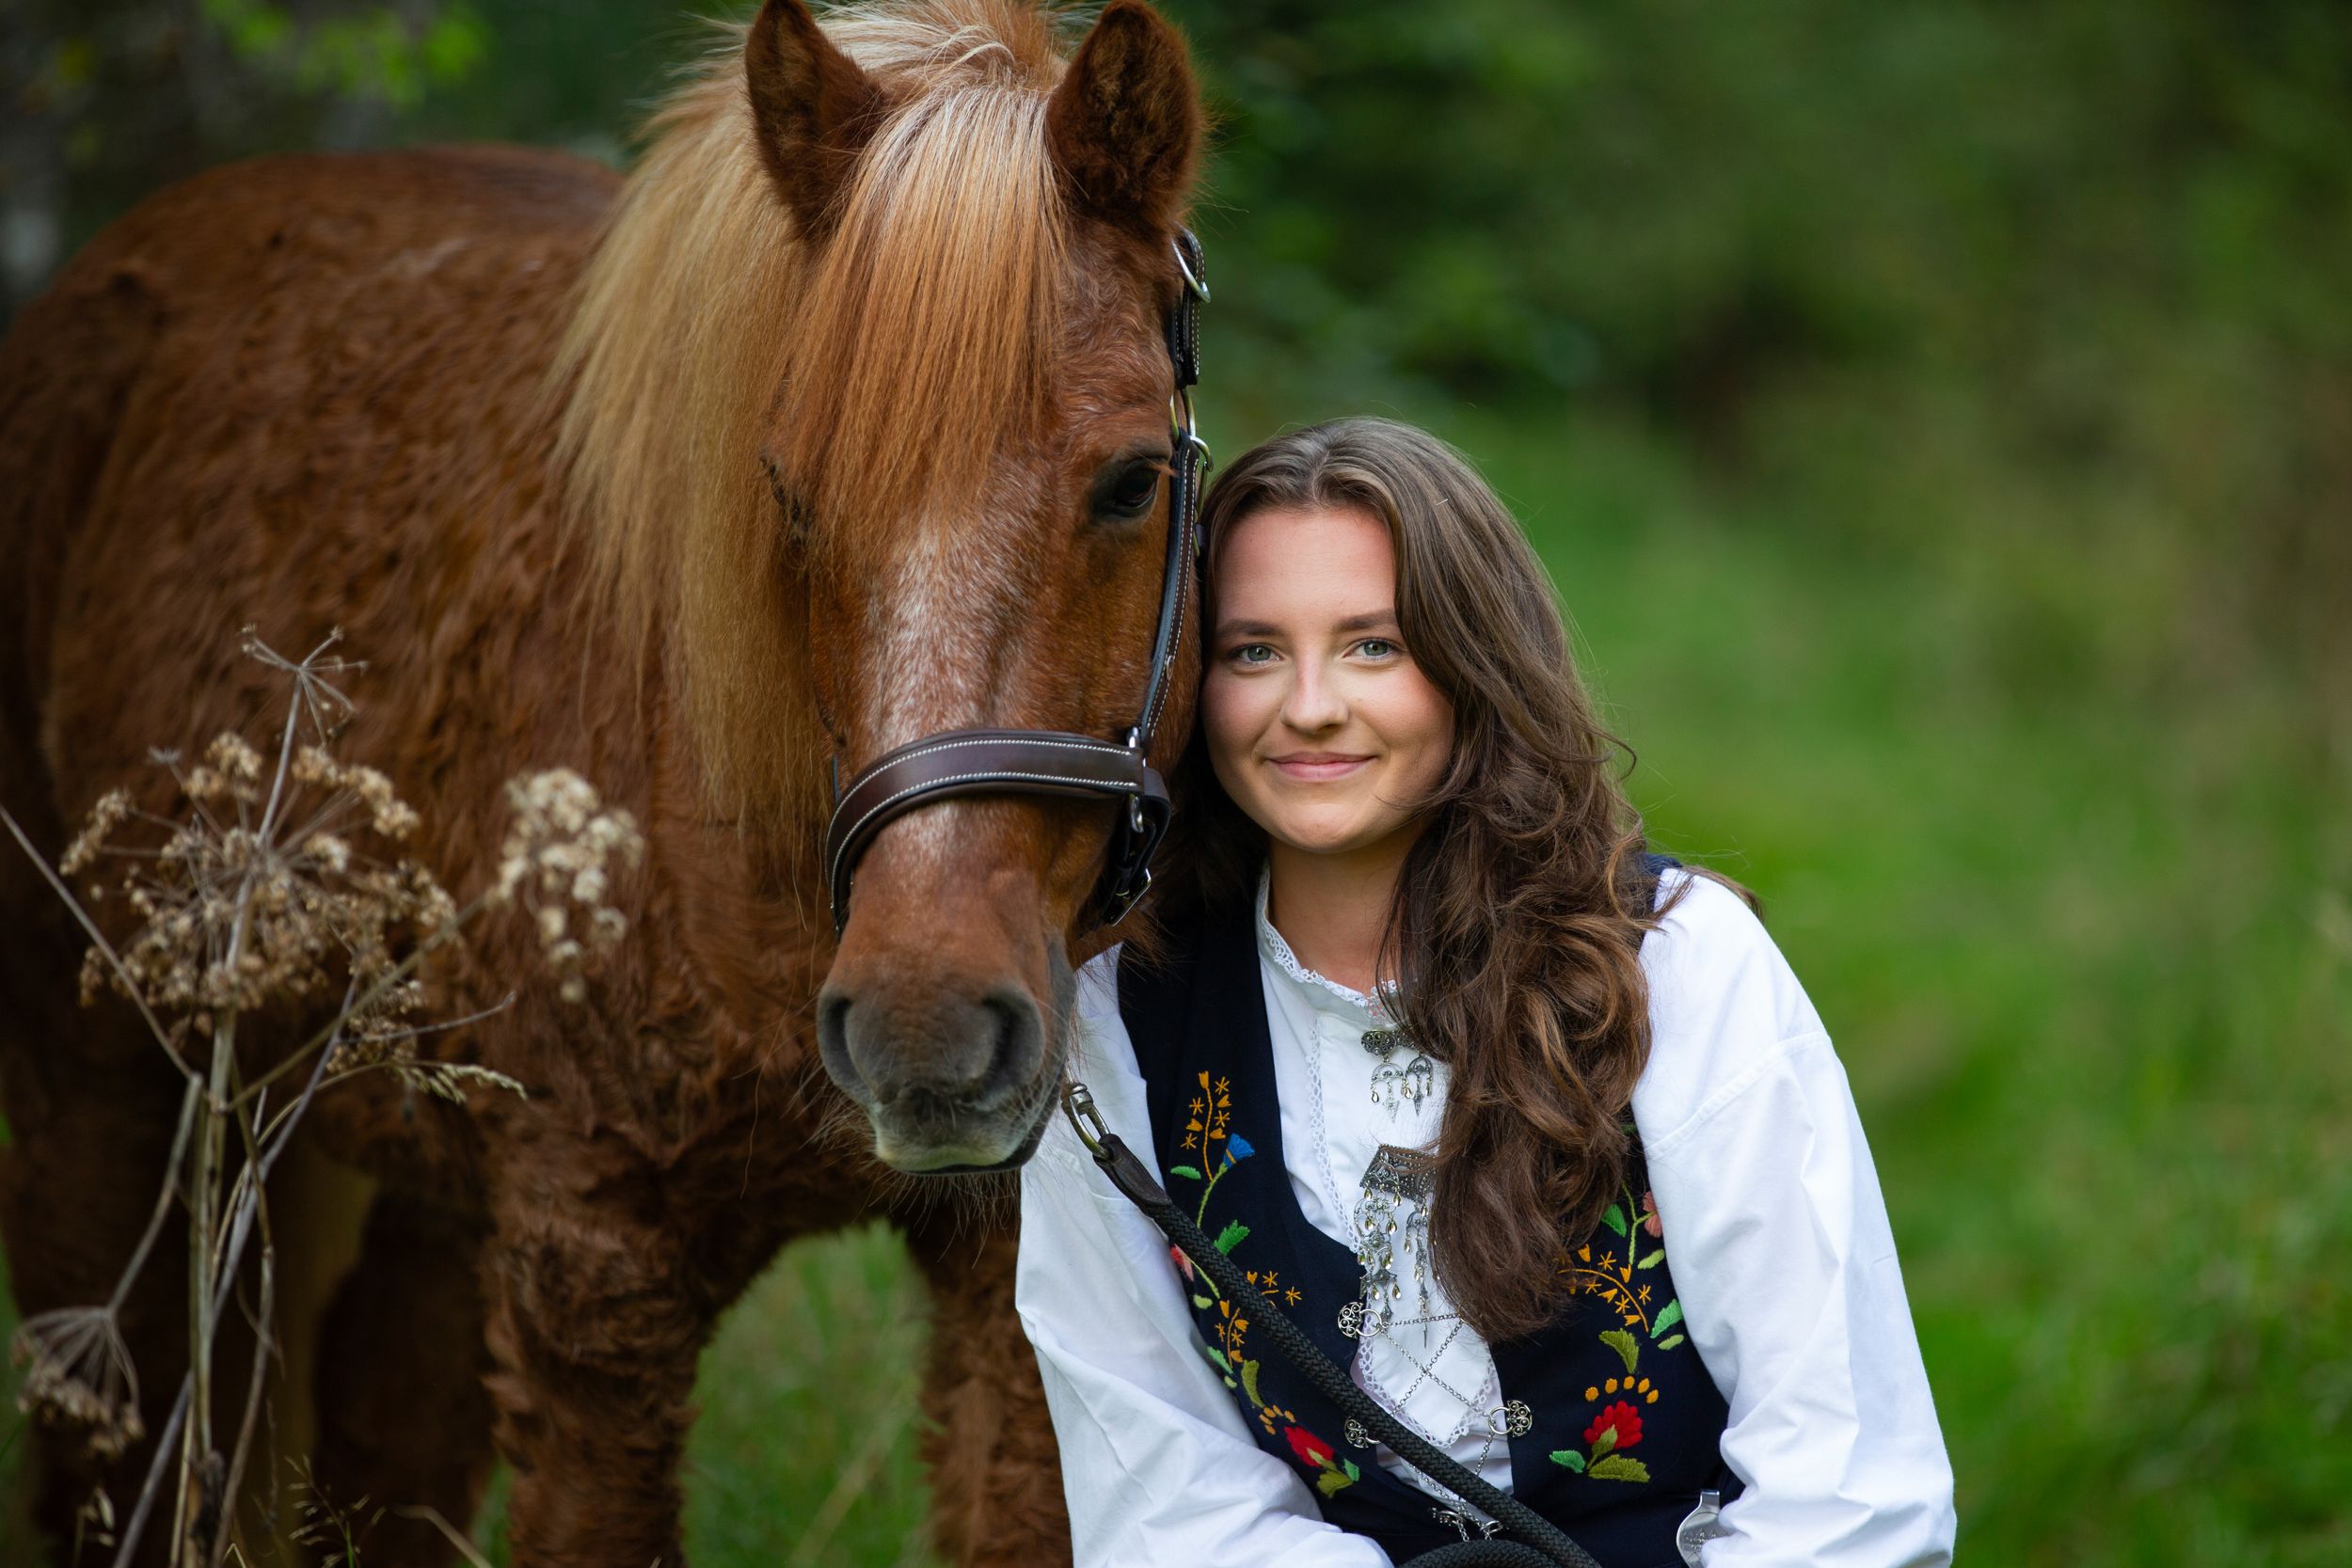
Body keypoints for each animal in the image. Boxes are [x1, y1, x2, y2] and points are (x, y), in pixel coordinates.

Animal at [0, 1, 1204, 1561]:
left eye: (1131, 480)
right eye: (788, 494)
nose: (926, 1021)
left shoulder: (1008, 1298)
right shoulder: (595, 1290)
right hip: (94, 1089)